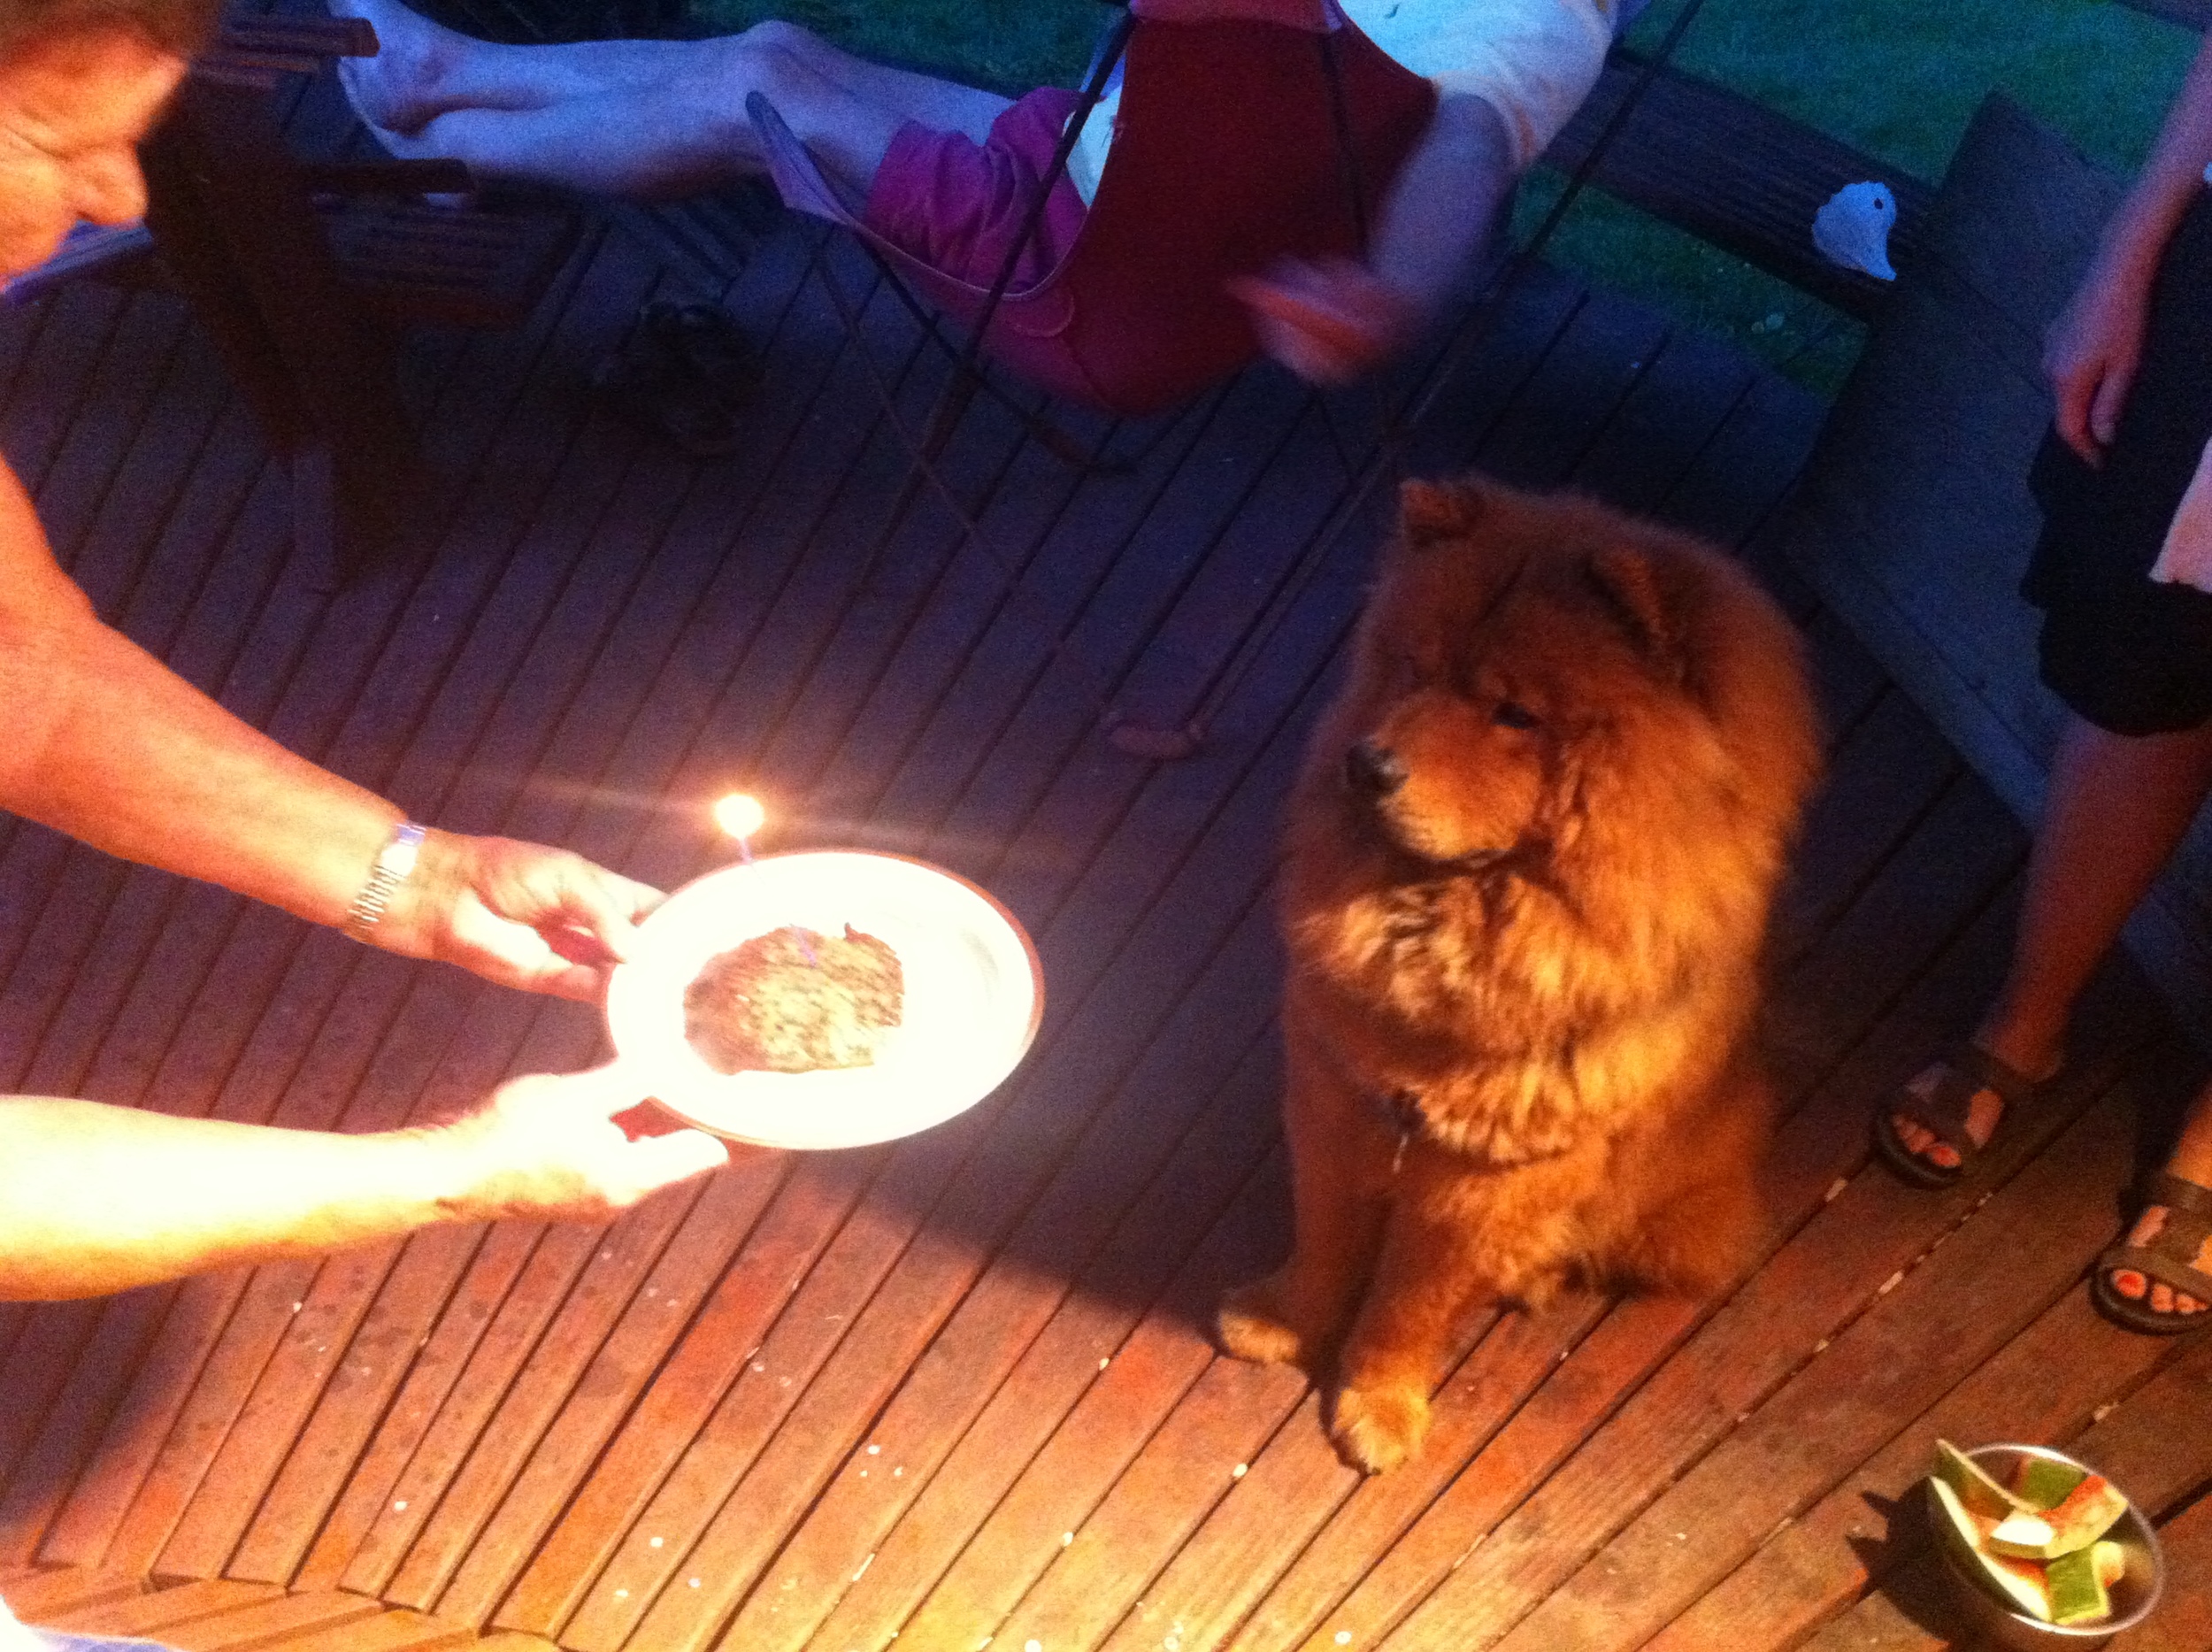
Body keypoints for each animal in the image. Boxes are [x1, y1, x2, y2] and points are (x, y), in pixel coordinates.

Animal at [1221, 475, 1823, 1477]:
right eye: (1413, 669)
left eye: (1515, 715)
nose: (1367, 762)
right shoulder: (1333, 1102)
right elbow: (1327, 1242)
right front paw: (1282, 1322)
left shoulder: (1486, 1188)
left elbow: (1407, 1306)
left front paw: (1378, 1409)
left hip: (1670, 1213)